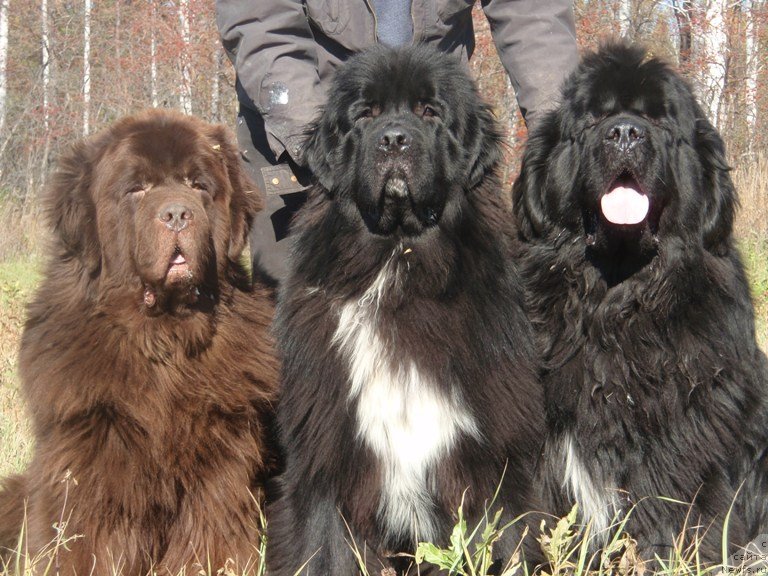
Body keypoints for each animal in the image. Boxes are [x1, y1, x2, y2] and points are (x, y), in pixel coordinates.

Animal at [0, 110, 280, 572]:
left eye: (198, 185)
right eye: (137, 188)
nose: (177, 213)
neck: (164, 336)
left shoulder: (220, 455)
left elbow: (210, 529)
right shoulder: (92, 440)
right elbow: (87, 533)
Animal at [268, 46, 544, 576]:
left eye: (429, 112)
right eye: (365, 115)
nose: (394, 139)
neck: (400, 264)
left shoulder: (490, 460)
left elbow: (504, 543)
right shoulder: (328, 458)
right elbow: (324, 551)